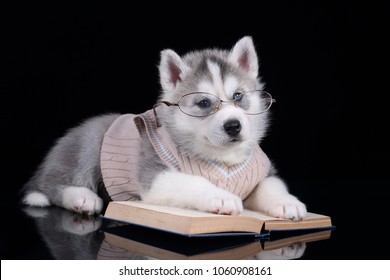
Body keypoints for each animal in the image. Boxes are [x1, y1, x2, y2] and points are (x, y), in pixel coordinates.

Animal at [22, 37, 308, 220]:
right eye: (204, 103)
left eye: (238, 96)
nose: (233, 126)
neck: (223, 161)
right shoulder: (155, 175)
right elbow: (193, 181)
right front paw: (221, 197)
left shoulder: (261, 171)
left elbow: (272, 184)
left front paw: (287, 202)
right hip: (89, 144)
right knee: (53, 184)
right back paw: (82, 198)